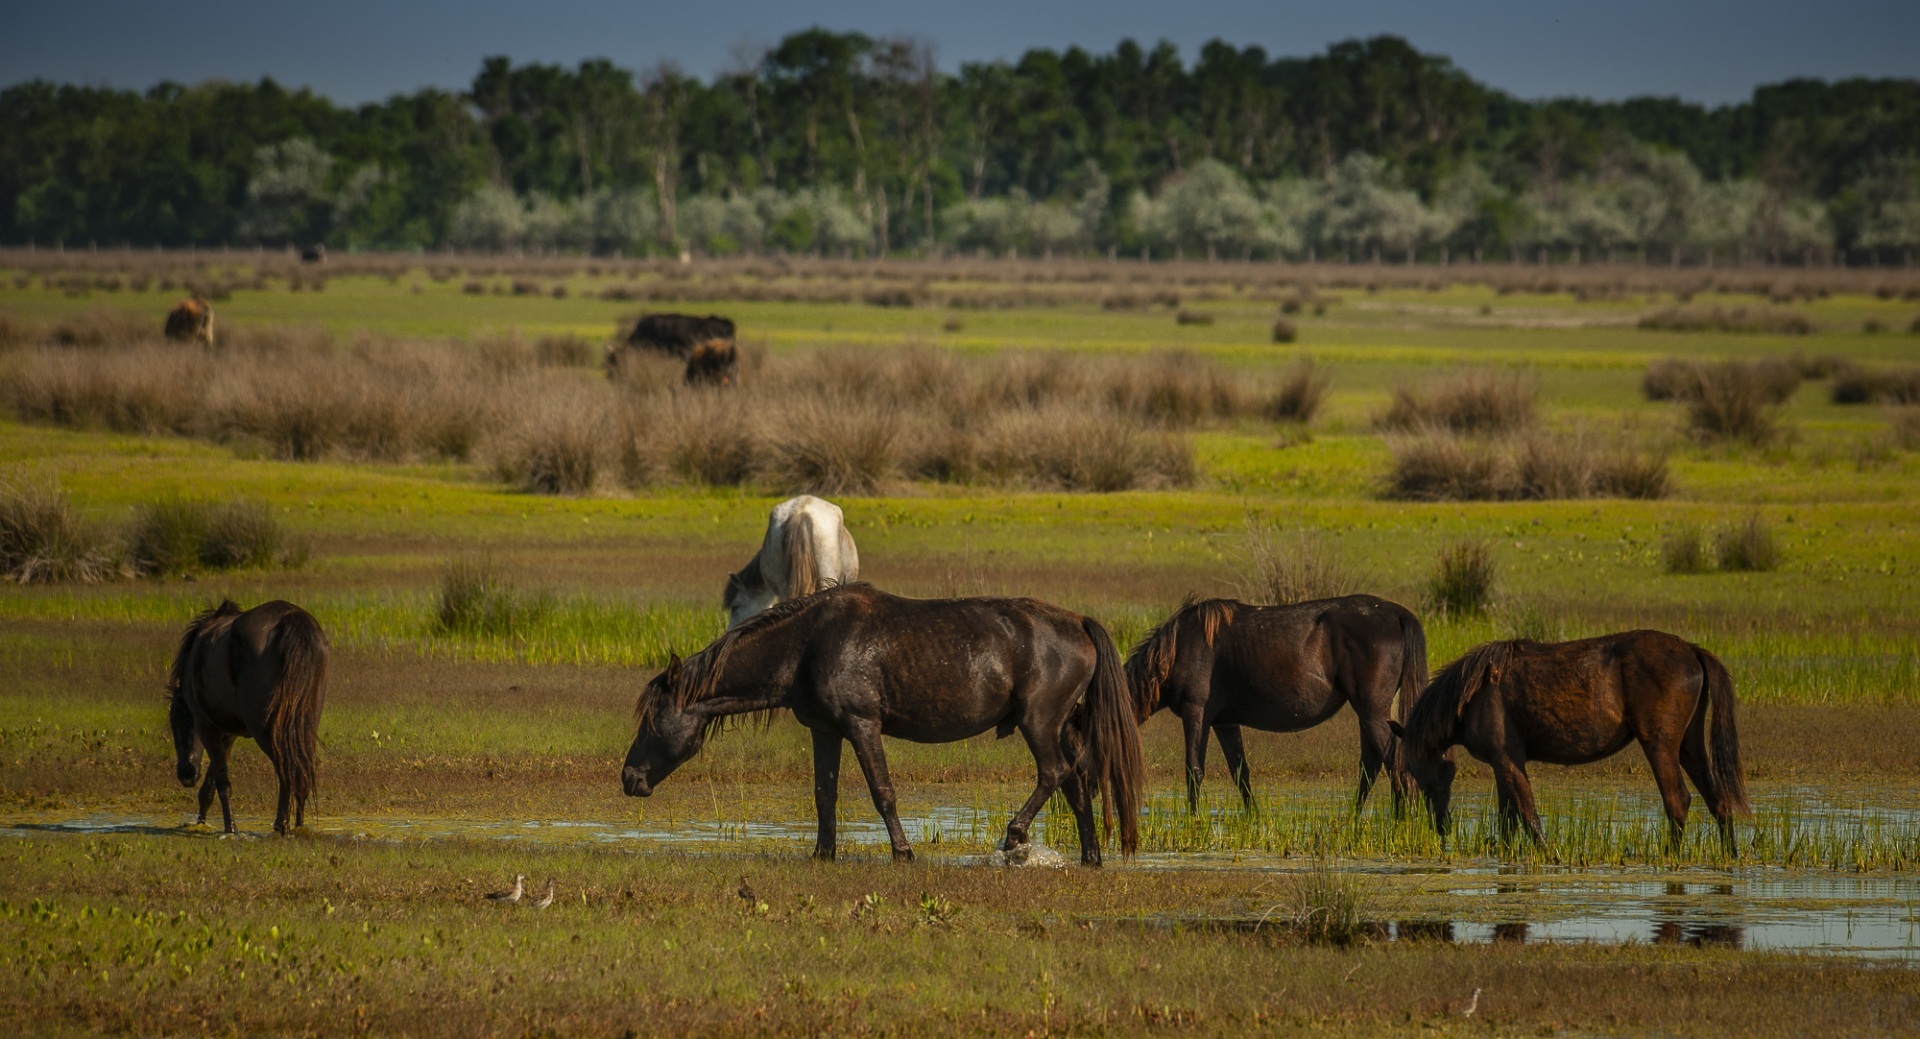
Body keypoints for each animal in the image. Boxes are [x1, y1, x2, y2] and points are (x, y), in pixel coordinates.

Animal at [168, 599, 330, 833]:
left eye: (176, 721)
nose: (186, 775)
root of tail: (292, 619)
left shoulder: (206, 726)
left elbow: (222, 781)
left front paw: (230, 828)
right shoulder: (227, 733)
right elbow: (211, 783)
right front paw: (202, 820)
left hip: (266, 729)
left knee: (287, 767)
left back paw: (281, 825)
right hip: (304, 723)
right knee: (301, 767)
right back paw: (299, 825)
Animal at [625, 583, 1136, 868]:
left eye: (652, 719)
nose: (629, 778)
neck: (808, 643)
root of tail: (1079, 622)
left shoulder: (861, 724)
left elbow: (882, 791)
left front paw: (903, 852)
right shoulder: (825, 730)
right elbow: (824, 793)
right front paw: (823, 853)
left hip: (1039, 722)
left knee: (1054, 773)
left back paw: (1014, 835)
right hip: (1060, 725)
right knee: (1077, 782)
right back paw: (1091, 856)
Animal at [1121, 595, 1428, 814]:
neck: (1177, 648)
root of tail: (1399, 614)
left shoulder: (1195, 712)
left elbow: (1194, 770)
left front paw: (1194, 821)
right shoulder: (1225, 723)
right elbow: (1240, 773)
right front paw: (1253, 818)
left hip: (1372, 713)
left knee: (1394, 762)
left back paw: (1401, 820)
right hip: (1369, 714)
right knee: (1372, 765)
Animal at [1390, 626, 1751, 845]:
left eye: (1417, 769)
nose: (1441, 826)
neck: (1473, 693)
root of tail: (1691, 650)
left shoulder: (1507, 761)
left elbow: (1528, 815)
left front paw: (1549, 856)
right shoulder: (1501, 764)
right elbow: (1508, 821)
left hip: (1660, 746)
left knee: (1678, 801)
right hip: (1689, 746)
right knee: (1719, 801)